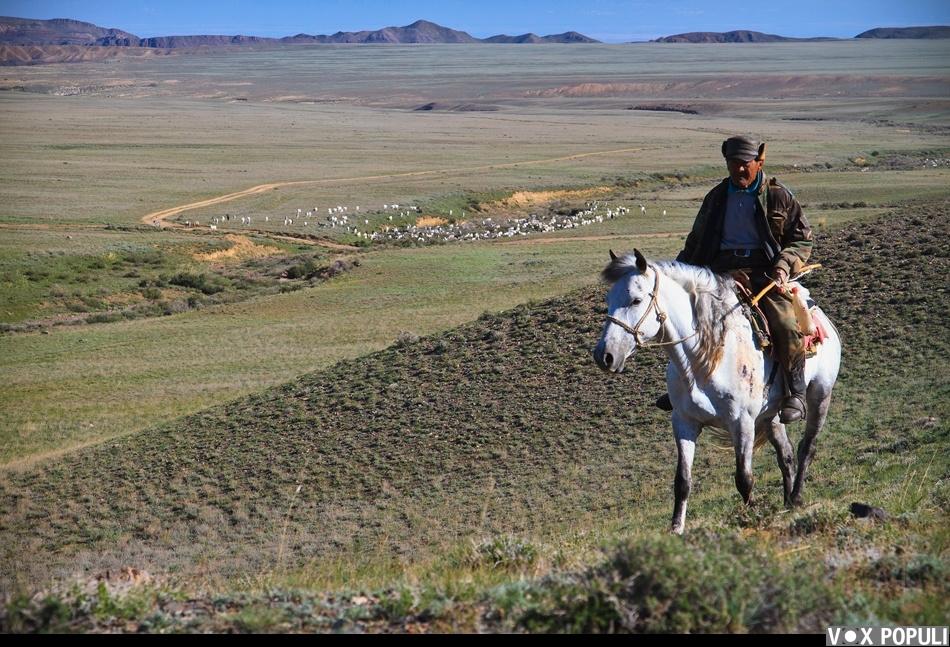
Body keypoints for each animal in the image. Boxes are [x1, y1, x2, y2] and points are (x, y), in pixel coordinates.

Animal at [592, 251, 844, 536]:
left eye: (636, 300)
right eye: (608, 301)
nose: (605, 356)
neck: (705, 358)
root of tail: (819, 315)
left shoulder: (742, 422)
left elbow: (744, 478)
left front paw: (751, 516)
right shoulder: (685, 423)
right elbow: (683, 481)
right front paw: (676, 529)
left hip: (820, 394)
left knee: (806, 448)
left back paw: (798, 497)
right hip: (771, 415)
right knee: (786, 455)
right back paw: (788, 502)